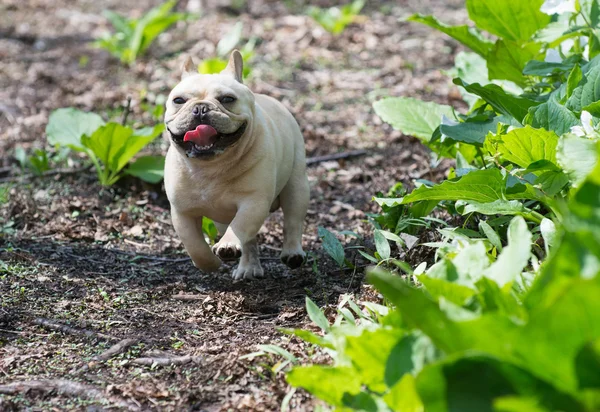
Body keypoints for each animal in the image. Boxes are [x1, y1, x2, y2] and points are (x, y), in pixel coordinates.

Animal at [163, 50, 310, 278]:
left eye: (227, 99)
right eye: (178, 100)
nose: (200, 108)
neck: (211, 167)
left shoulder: (253, 202)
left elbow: (240, 225)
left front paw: (228, 246)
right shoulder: (182, 213)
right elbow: (194, 244)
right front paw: (210, 264)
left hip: (297, 185)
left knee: (293, 219)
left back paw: (292, 253)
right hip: (222, 217)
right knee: (248, 241)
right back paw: (248, 268)